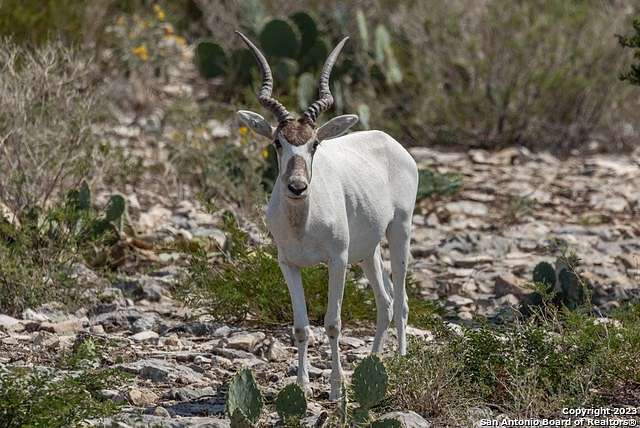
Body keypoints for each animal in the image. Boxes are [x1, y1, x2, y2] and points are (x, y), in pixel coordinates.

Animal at [236, 31, 420, 400]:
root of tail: (388, 141)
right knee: (385, 302)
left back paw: (400, 362)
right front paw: (303, 386)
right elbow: (301, 327)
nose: (297, 187)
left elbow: (333, 324)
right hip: (366, 251)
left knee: (402, 301)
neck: (303, 225)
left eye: (314, 144)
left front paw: (337, 390)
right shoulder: (288, 264)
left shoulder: (337, 260)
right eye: (278, 142)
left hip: (399, 230)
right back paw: (373, 363)